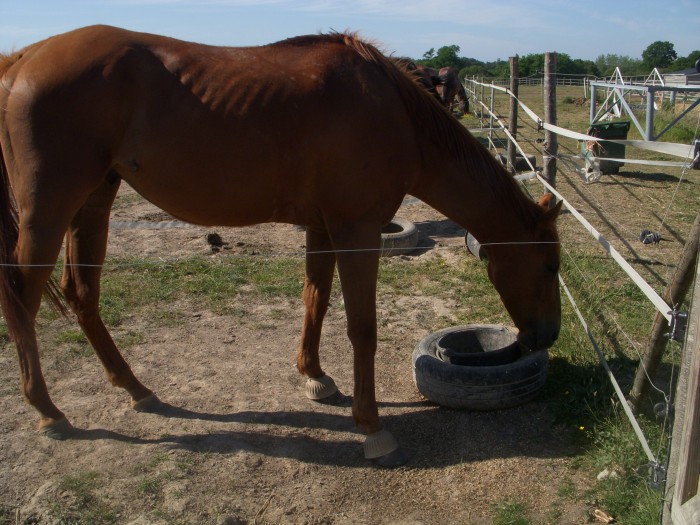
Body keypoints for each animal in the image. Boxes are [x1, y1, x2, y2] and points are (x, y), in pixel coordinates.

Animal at [0, 26, 560, 464]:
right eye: (551, 265)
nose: (546, 336)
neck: (391, 110)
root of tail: (24, 58)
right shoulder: (357, 230)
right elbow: (362, 328)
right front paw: (371, 425)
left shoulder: (322, 228)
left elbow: (316, 300)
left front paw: (315, 377)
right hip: (49, 210)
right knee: (23, 301)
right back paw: (49, 412)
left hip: (94, 200)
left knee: (83, 295)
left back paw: (137, 390)